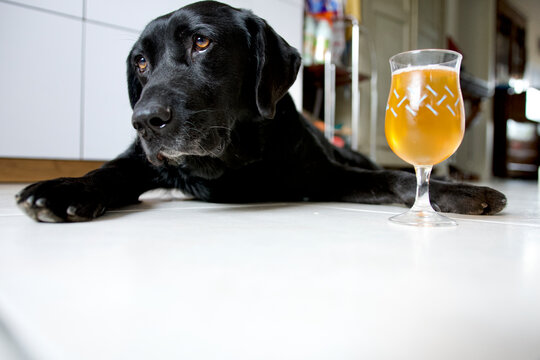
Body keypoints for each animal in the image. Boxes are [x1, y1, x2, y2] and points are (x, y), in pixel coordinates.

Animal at [16, 0, 506, 222]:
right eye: (140, 62)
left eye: (202, 41)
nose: (144, 121)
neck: (237, 159)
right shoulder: (140, 162)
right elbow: (108, 172)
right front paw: (64, 187)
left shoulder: (328, 175)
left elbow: (395, 178)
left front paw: (460, 193)